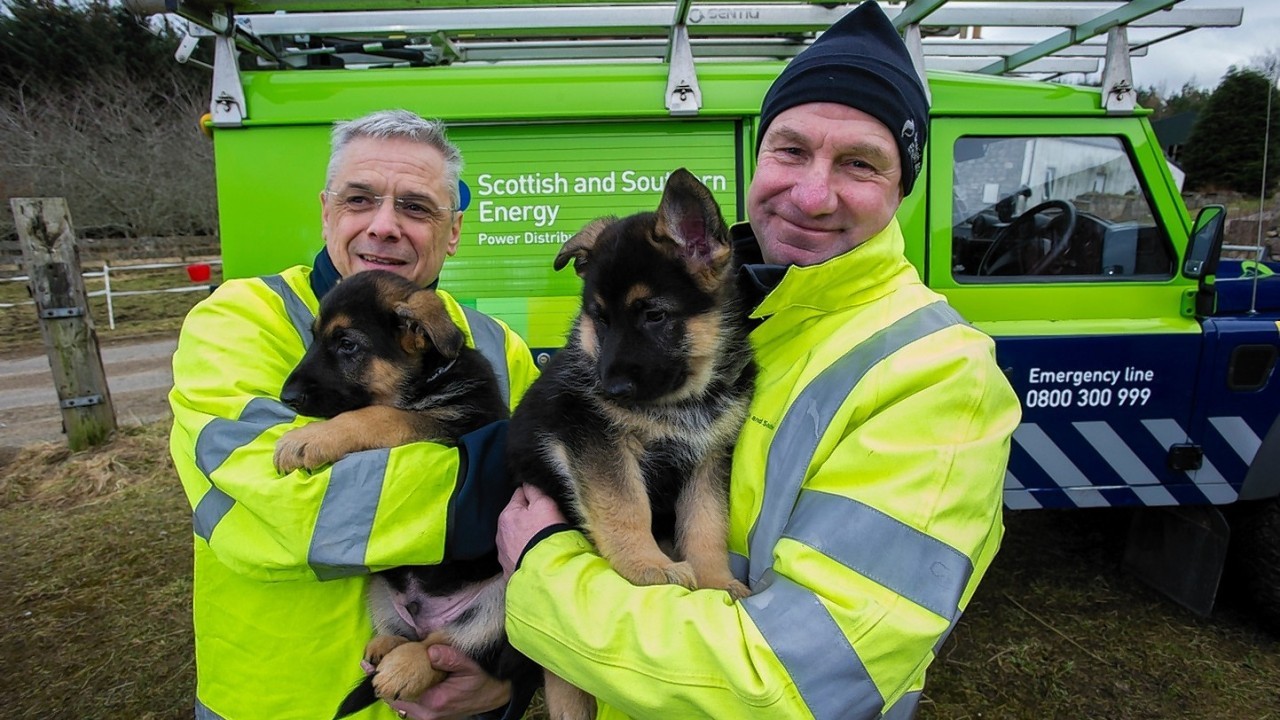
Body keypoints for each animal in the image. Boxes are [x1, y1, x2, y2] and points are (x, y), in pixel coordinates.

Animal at [270, 270, 529, 717]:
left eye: (347, 344)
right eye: (314, 337)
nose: (287, 399)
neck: (429, 379)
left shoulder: (447, 427)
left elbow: (379, 416)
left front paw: (307, 439)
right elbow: (380, 411)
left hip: (503, 597)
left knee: (454, 649)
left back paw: (405, 668)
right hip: (379, 588)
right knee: (413, 634)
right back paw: (384, 647)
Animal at [504, 166, 752, 712]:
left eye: (653, 315)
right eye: (600, 317)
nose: (610, 388)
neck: (681, 401)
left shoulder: (709, 454)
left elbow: (706, 522)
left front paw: (716, 581)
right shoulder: (592, 434)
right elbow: (625, 504)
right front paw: (646, 566)